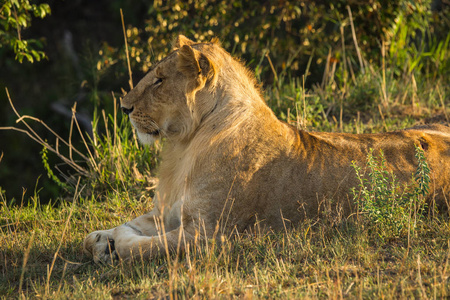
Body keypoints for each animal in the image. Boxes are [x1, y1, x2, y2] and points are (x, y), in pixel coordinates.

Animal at [83, 33, 450, 262]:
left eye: (160, 79)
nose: (124, 107)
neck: (186, 145)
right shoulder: (169, 212)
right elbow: (124, 226)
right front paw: (101, 238)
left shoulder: (210, 235)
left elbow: (143, 247)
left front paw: (115, 246)